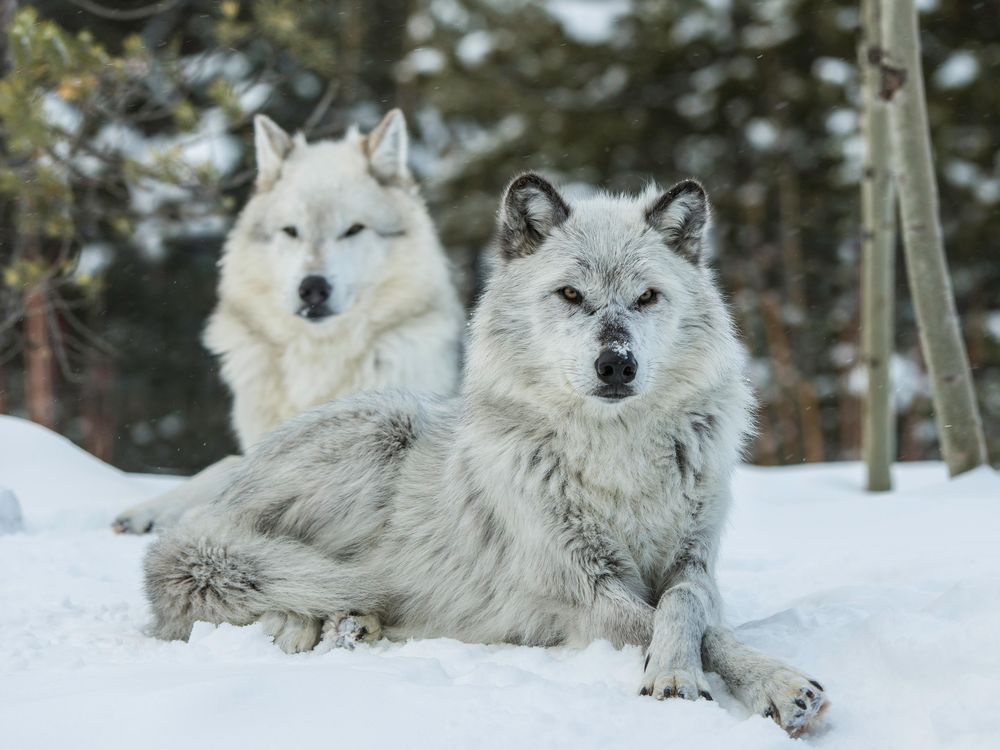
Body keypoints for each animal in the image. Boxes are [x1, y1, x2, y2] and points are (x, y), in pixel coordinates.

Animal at [111, 110, 462, 536]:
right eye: (291, 231)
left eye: (353, 229)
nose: (312, 288)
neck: (318, 364)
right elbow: (227, 465)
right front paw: (152, 509)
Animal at [141, 175, 828, 736]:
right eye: (571, 295)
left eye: (647, 297)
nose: (616, 363)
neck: (616, 456)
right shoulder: (582, 590)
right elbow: (688, 632)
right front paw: (706, 679)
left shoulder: (695, 564)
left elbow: (687, 610)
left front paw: (740, 677)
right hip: (380, 429)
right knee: (238, 590)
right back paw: (315, 622)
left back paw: (354, 625)